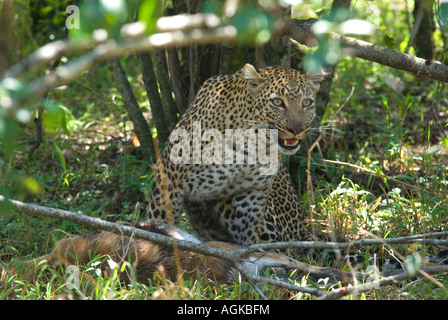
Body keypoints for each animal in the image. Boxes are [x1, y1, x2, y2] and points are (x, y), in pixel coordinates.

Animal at [147, 63, 326, 246]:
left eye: (306, 103)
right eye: (277, 102)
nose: (297, 130)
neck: (252, 143)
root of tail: (303, 228)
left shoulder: (252, 193)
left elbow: (250, 235)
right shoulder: (168, 183)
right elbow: (160, 223)